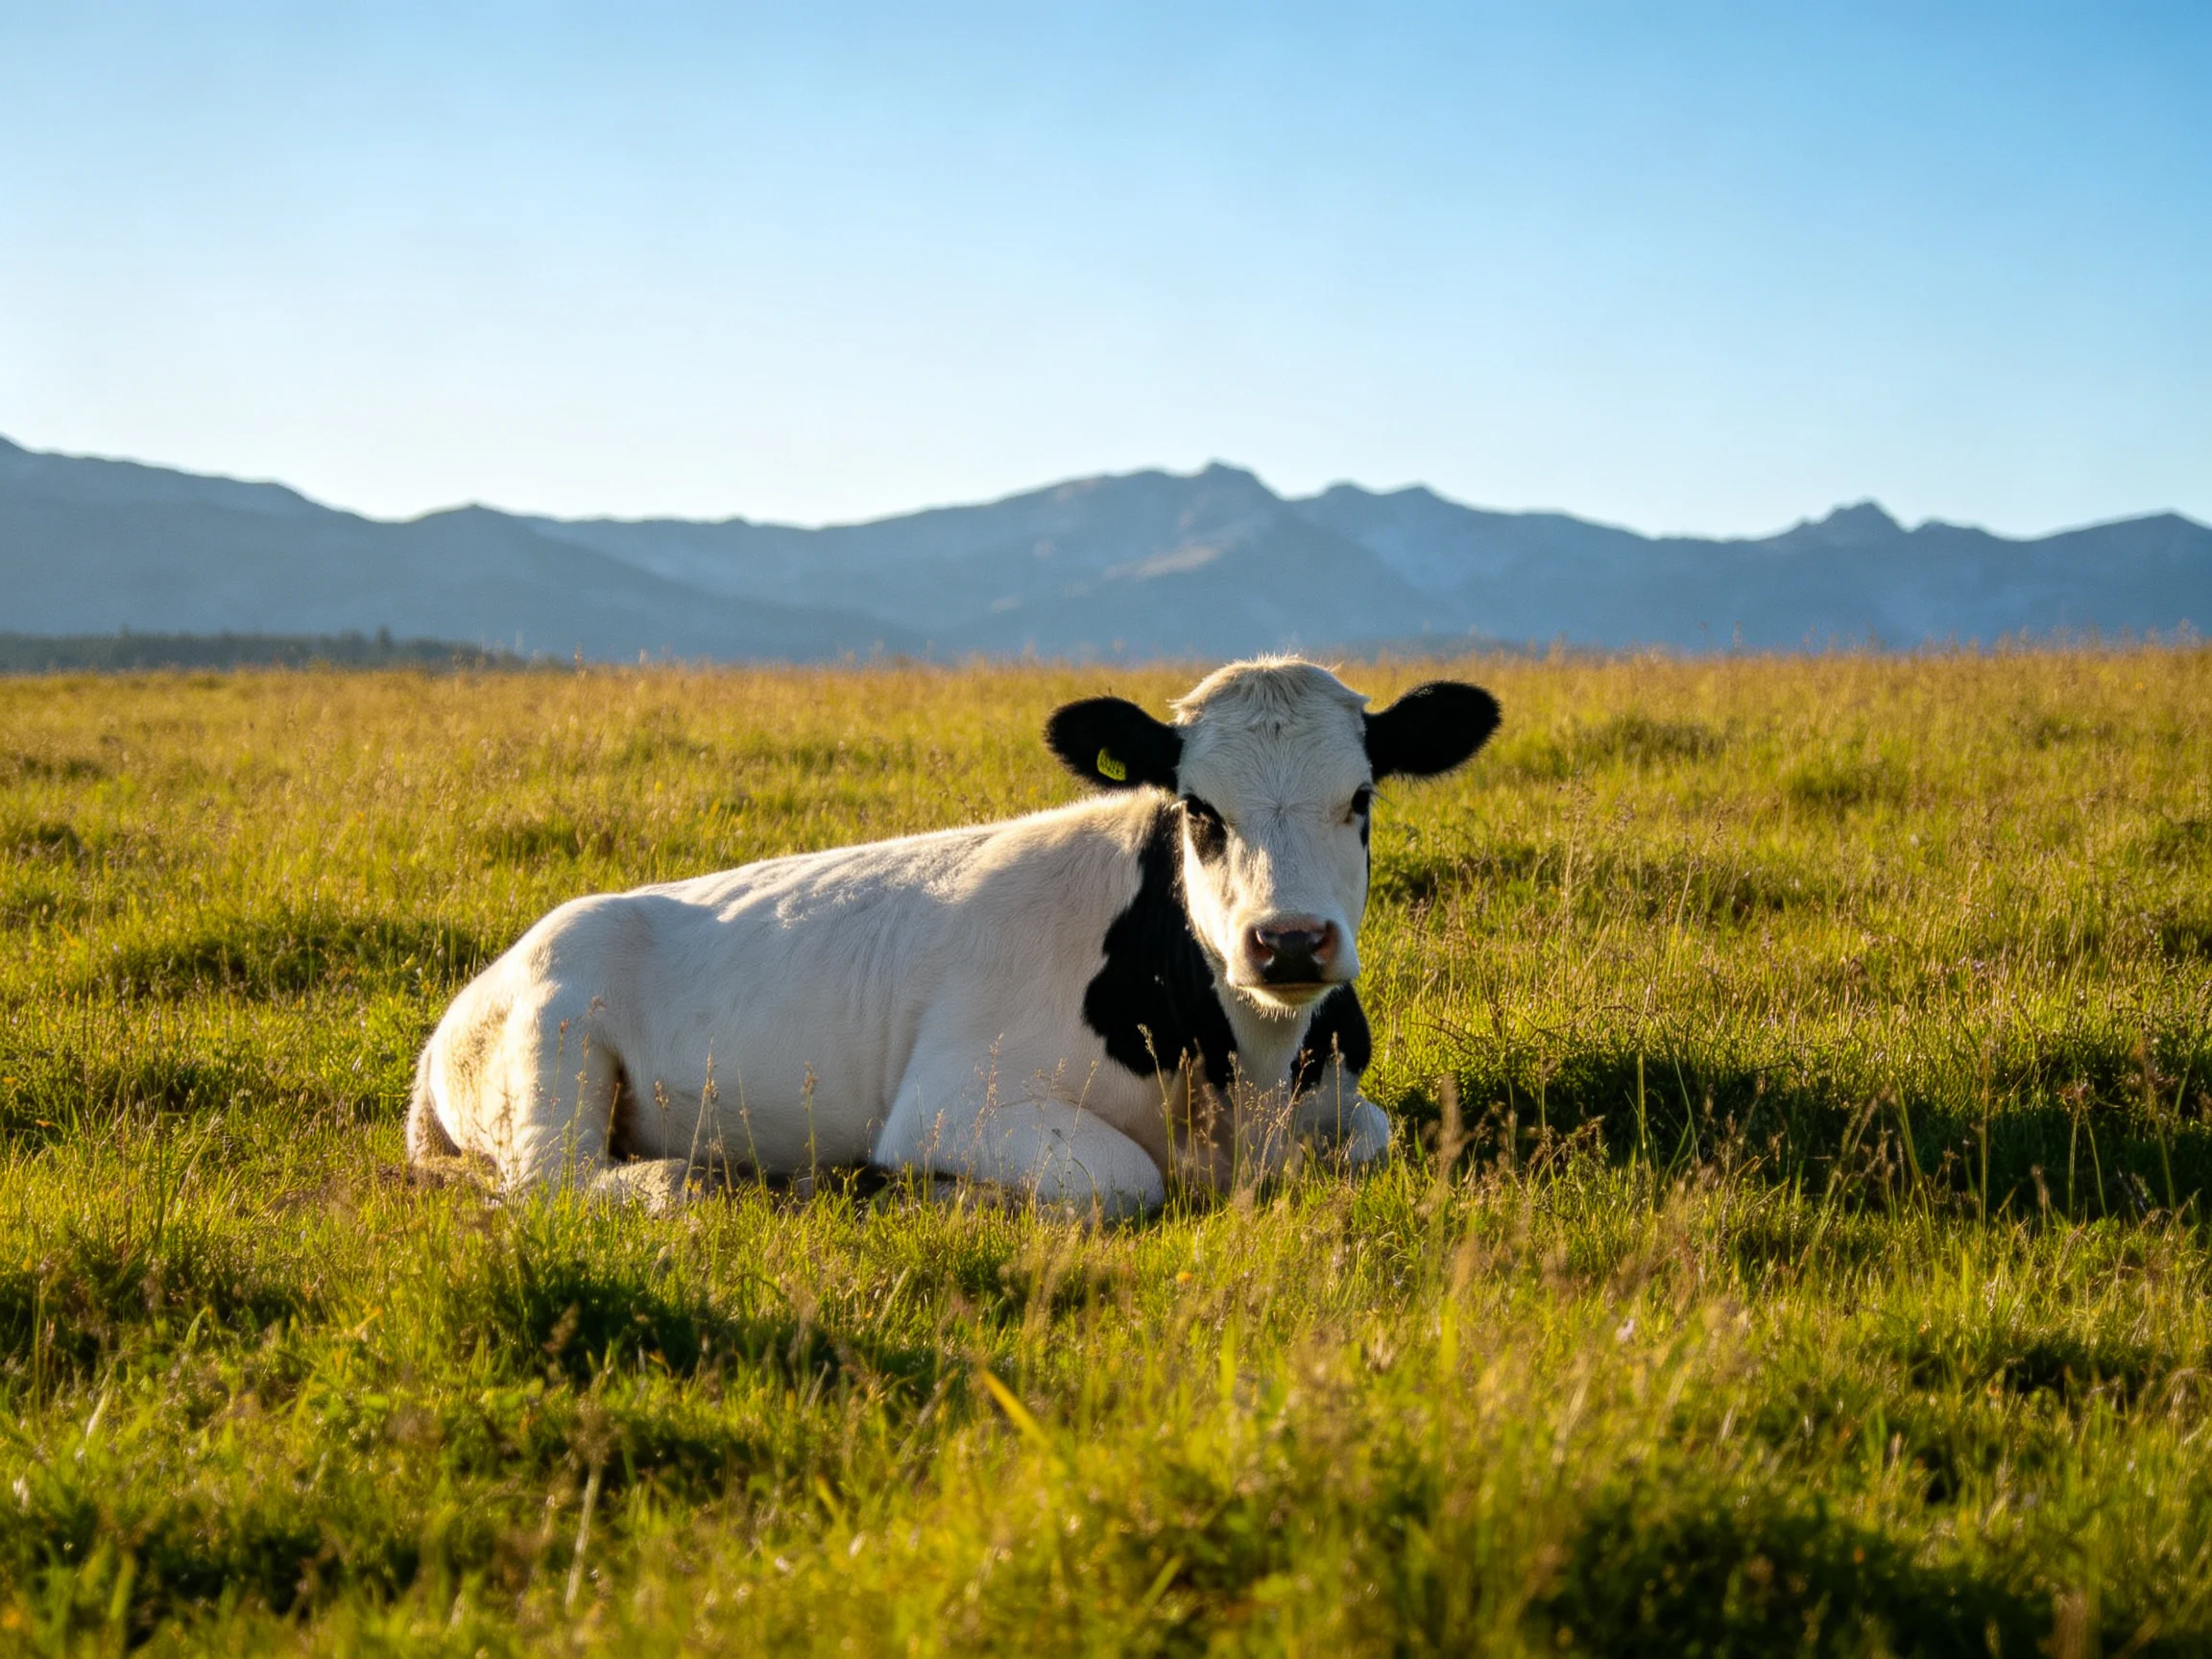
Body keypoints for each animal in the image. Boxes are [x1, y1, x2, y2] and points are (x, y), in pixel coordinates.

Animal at [406, 657, 1499, 1217]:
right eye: (1199, 809)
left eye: (1361, 799)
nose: (1290, 943)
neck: (1249, 1072)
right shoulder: (952, 1102)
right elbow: (1126, 1180)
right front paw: (933, 1197)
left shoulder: (1342, 1104)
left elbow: (1372, 1140)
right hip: (558, 1049)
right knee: (564, 1187)